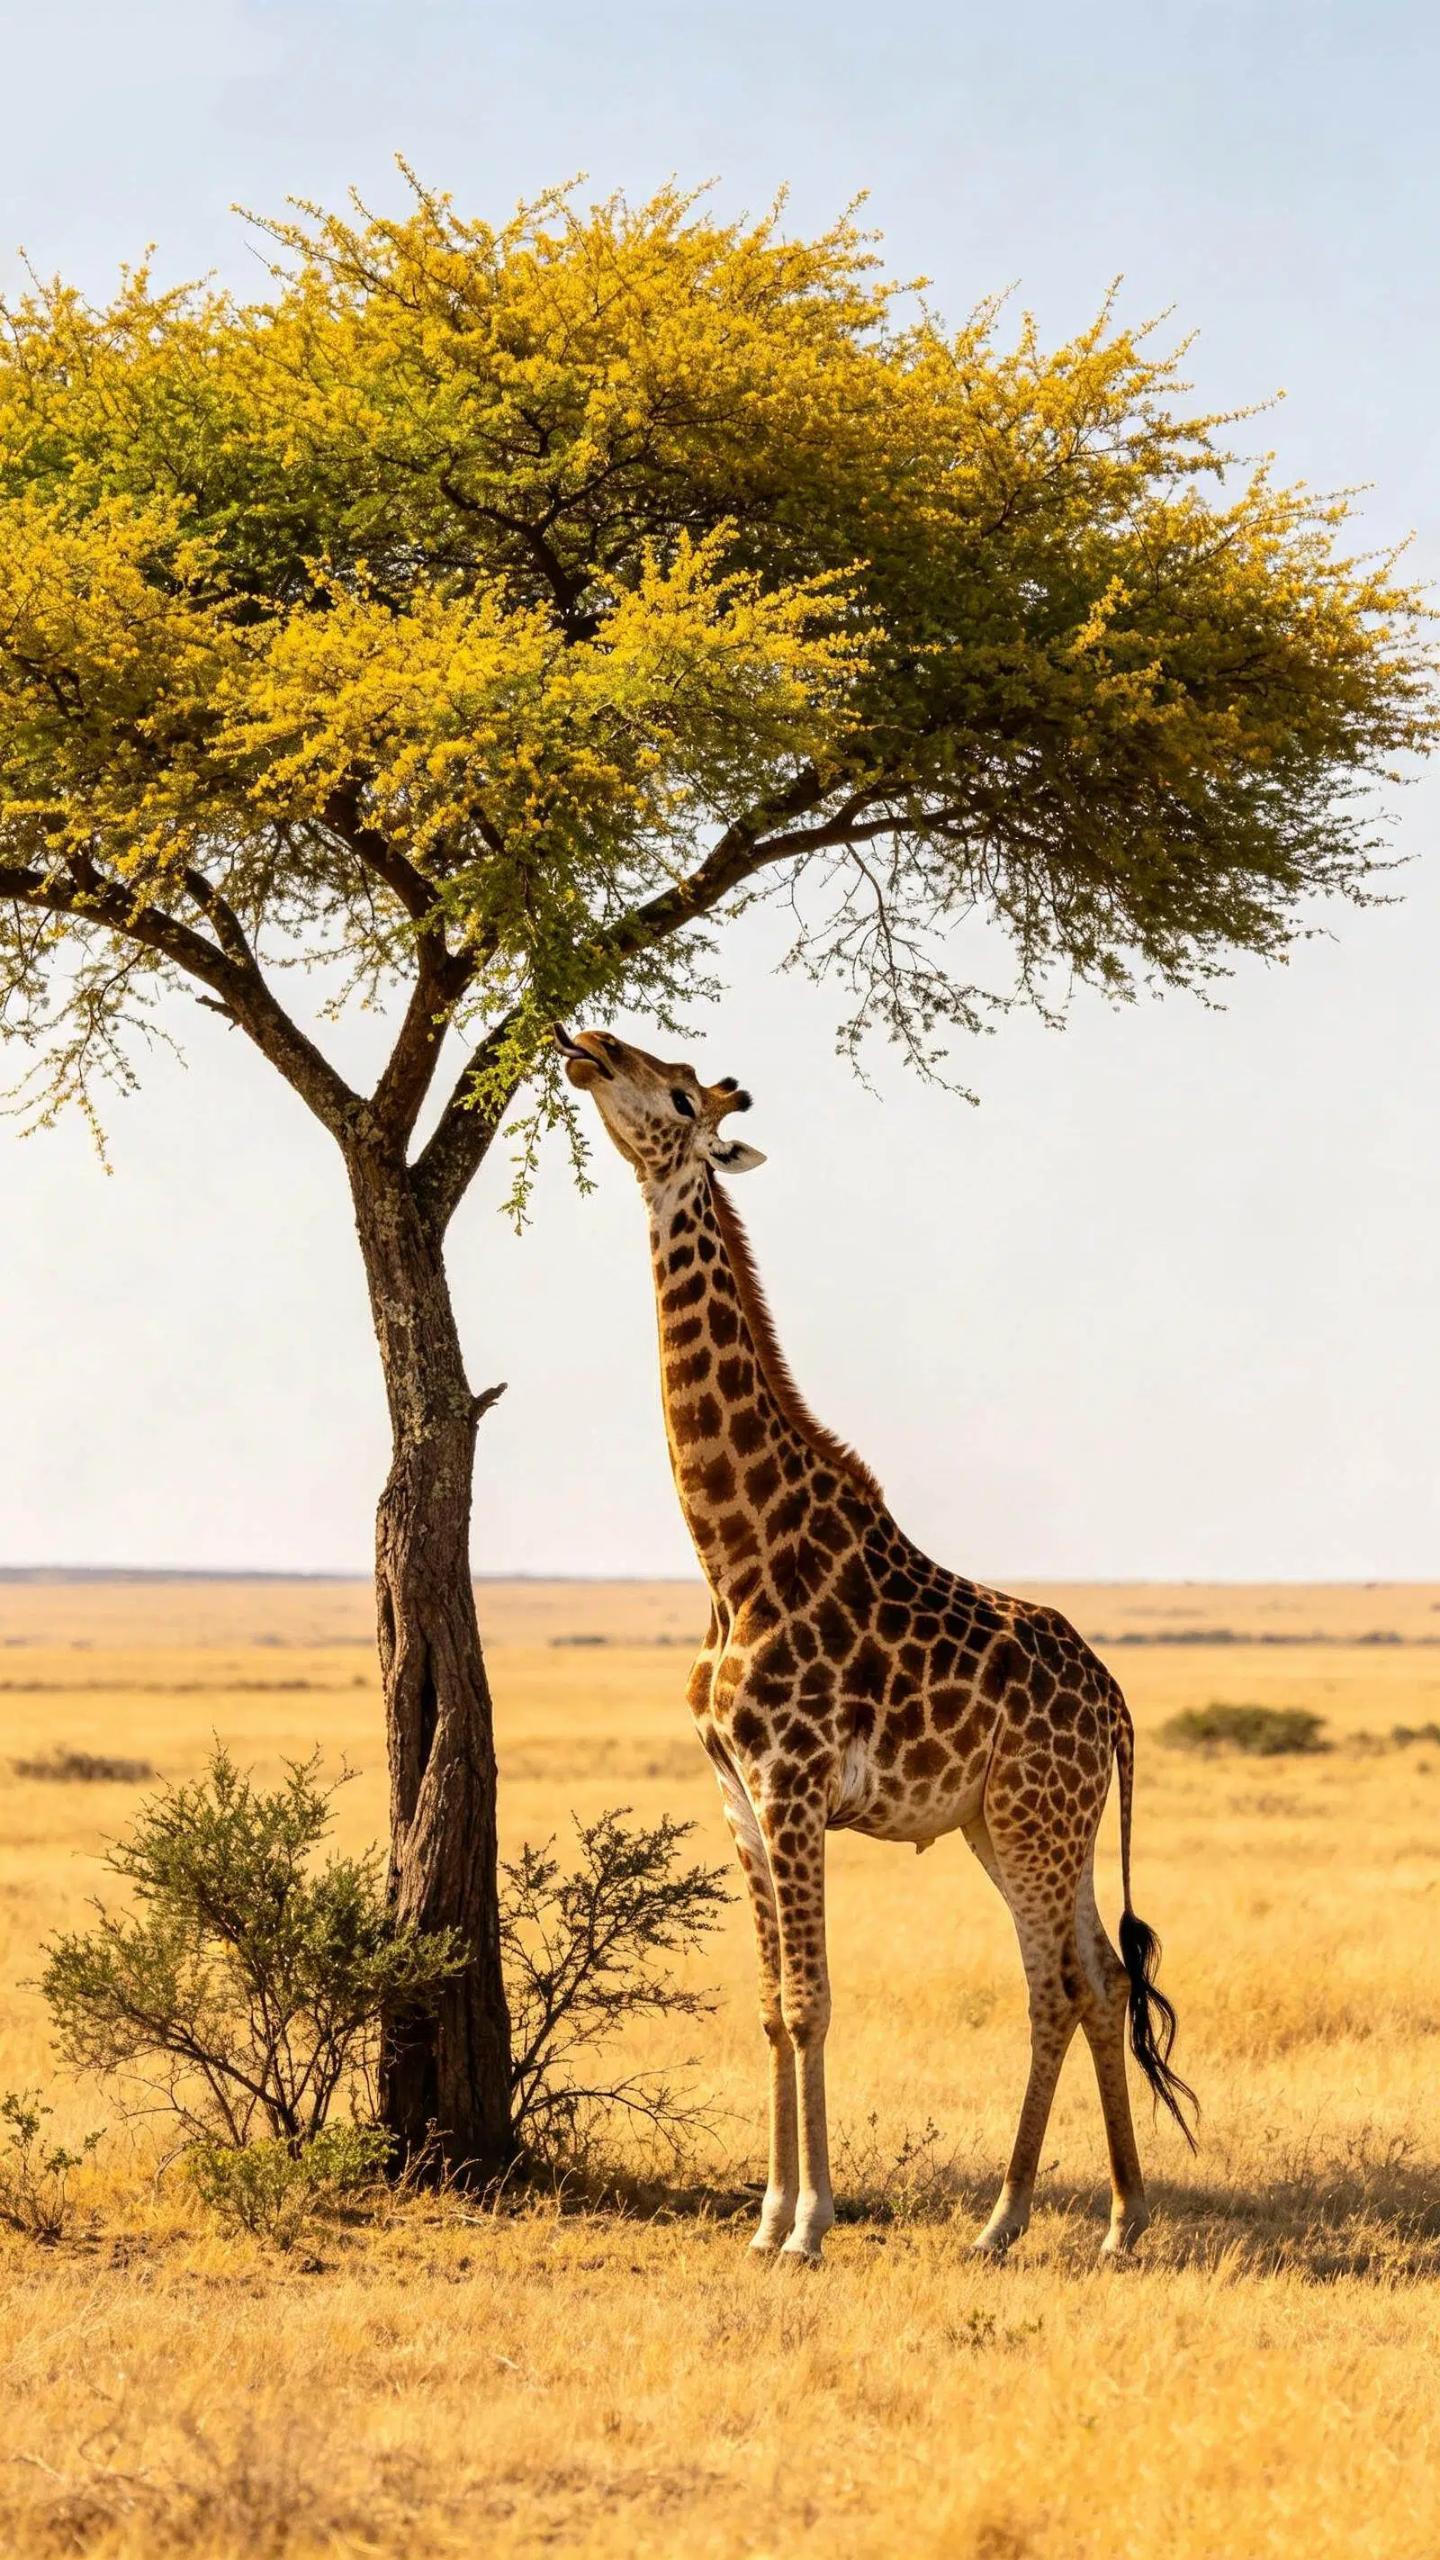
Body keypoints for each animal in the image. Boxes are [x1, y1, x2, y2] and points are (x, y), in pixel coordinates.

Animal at [555, 1024, 1196, 2264]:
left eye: (673, 1091)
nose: (585, 1041)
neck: (734, 1555)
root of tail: (1117, 1707)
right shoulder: (737, 1796)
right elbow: (770, 2007)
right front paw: (764, 2221)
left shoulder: (794, 1783)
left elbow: (812, 2000)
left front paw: (810, 2224)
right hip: (1018, 1823)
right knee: (1099, 1976)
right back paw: (1121, 2217)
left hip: (1033, 1822)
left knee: (1055, 1983)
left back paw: (1006, 2219)